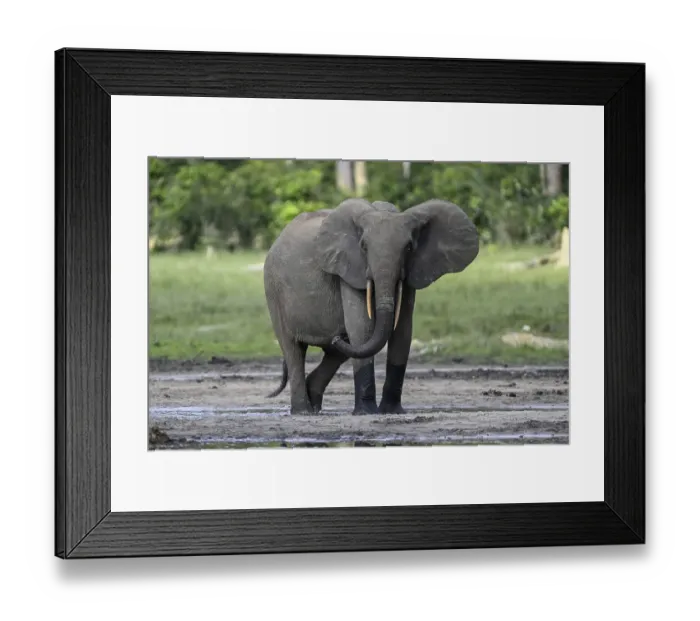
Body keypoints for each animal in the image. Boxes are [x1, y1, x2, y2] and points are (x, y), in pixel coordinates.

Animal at [263, 197, 479, 415]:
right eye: (364, 247)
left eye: (409, 248)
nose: (336, 338)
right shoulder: (349, 269)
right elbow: (362, 328)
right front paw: (367, 412)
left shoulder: (411, 271)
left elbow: (402, 331)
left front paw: (391, 411)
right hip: (273, 291)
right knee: (293, 350)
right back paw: (303, 411)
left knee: (337, 353)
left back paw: (314, 403)